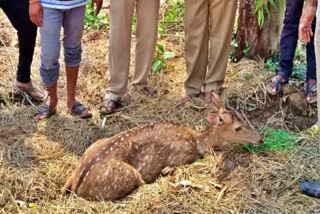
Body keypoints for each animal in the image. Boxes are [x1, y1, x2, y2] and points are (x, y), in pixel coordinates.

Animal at [62, 92, 262, 201]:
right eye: (237, 128)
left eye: (243, 118)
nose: (260, 139)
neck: (197, 141)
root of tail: (79, 187)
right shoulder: (182, 156)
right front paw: (166, 171)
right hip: (127, 175)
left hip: (91, 149)